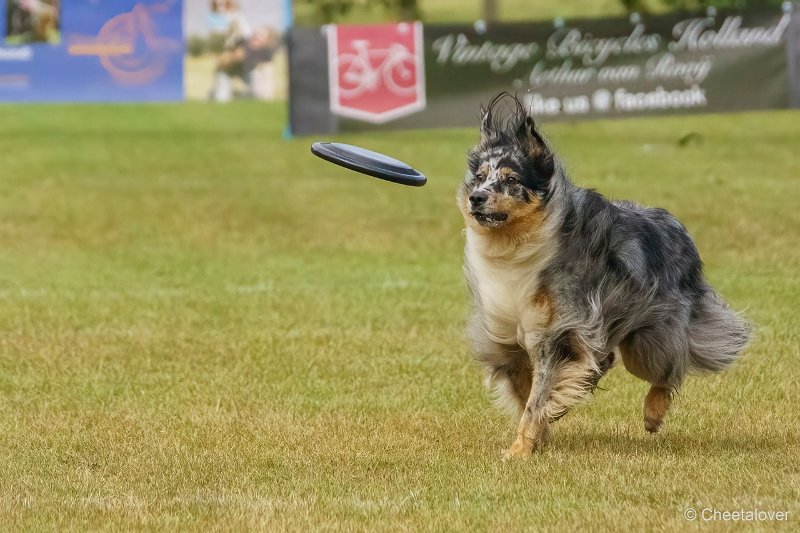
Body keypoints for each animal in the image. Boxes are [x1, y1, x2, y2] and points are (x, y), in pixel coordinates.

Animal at [456, 91, 752, 458]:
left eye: (511, 180)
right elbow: (527, 390)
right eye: (480, 177)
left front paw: (520, 450)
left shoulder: (561, 331)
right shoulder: (507, 334)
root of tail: (677, 227)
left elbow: (538, 397)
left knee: (670, 368)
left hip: (650, 338)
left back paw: (653, 413)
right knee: (611, 358)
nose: (476, 198)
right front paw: (540, 432)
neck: (517, 244)